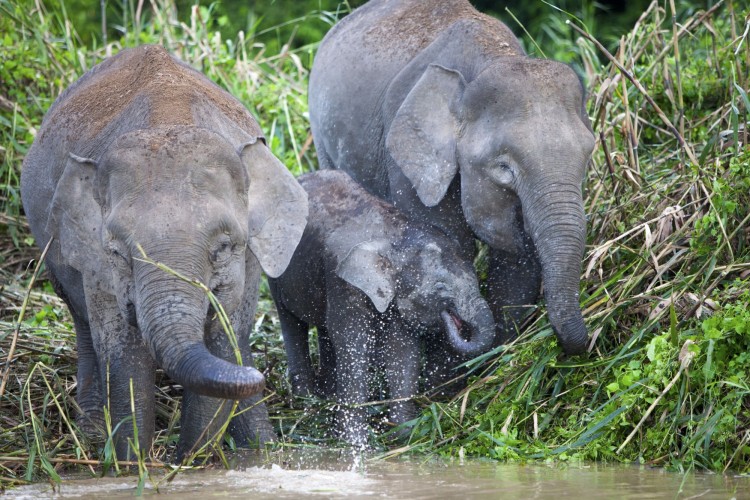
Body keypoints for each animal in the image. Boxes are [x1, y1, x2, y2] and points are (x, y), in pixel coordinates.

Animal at [20, 45, 308, 460]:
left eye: (223, 247)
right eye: (118, 252)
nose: (262, 376)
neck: (168, 120)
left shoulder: (251, 256)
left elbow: (224, 335)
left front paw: (199, 462)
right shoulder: (95, 259)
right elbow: (122, 349)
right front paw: (132, 464)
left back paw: (261, 448)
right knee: (82, 321)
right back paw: (91, 436)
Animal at [268, 170, 495, 446]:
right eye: (441, 287)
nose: (453, 321)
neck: (396, 237)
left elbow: (402, 348)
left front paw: (403, 434)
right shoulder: (344, 282)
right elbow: (354, 342)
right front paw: (355, 443)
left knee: (324, 328)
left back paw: (326, 396)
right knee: (291, 321)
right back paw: (306, 401)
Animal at [308, 0, 596, 355]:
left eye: (588, 156)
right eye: (504, 168)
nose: (584, 341)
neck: (490, 59)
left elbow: (516, 268)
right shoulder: (408, 165)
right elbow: (449, 246)